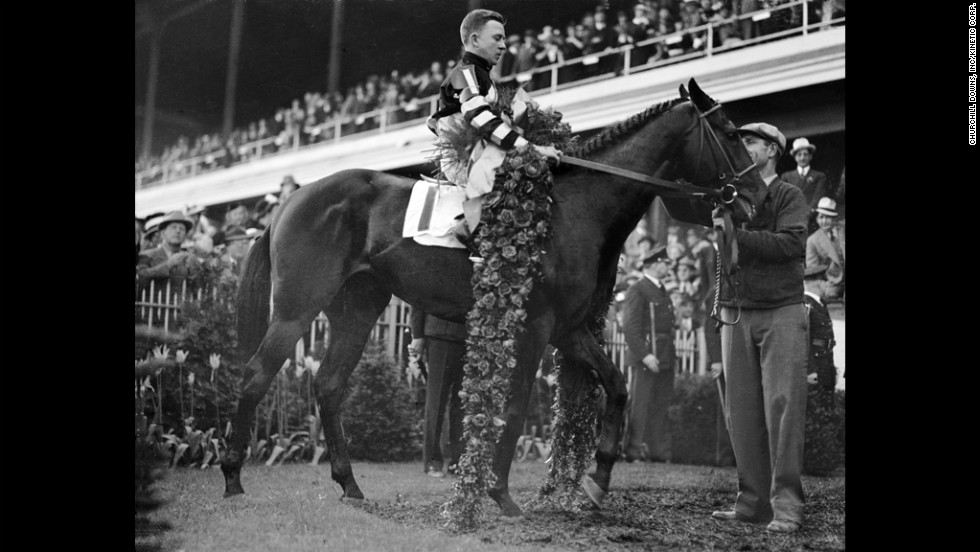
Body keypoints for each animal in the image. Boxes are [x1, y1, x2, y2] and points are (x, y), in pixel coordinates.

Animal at [222, 78, 764, 516]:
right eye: (732, 133)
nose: (755, 195)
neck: (575, 211)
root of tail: (292, 199)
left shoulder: (570, 330)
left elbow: (616, 387)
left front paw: (596, 481)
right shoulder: (536, 327)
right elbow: (517, 407)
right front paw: (500, 494)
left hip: (357, 308)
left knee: (329, 384)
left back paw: (349, 485)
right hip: (296, 309)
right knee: (254, 375)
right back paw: (232, 478)